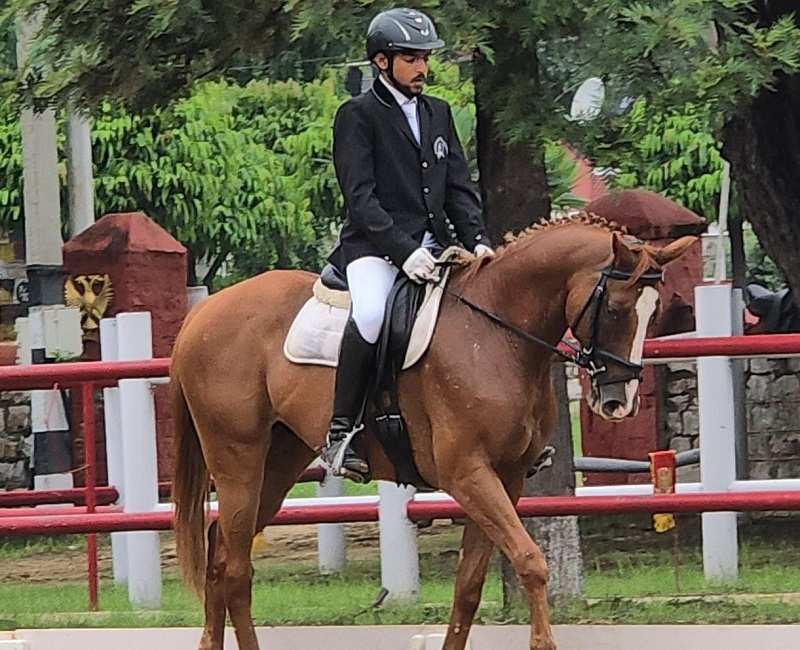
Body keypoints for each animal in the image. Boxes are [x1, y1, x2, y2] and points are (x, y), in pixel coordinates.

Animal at [173, 214, 692, 648]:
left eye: (655, 310)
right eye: (618, 309)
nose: (618, 402)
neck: (497, 334)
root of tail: (202, 315)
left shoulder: (506, 479)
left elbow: (469, 585)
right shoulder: (469, 476)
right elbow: (531, 562)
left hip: (278, 464)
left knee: (220, 554)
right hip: (238, 462)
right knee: (236, 570)